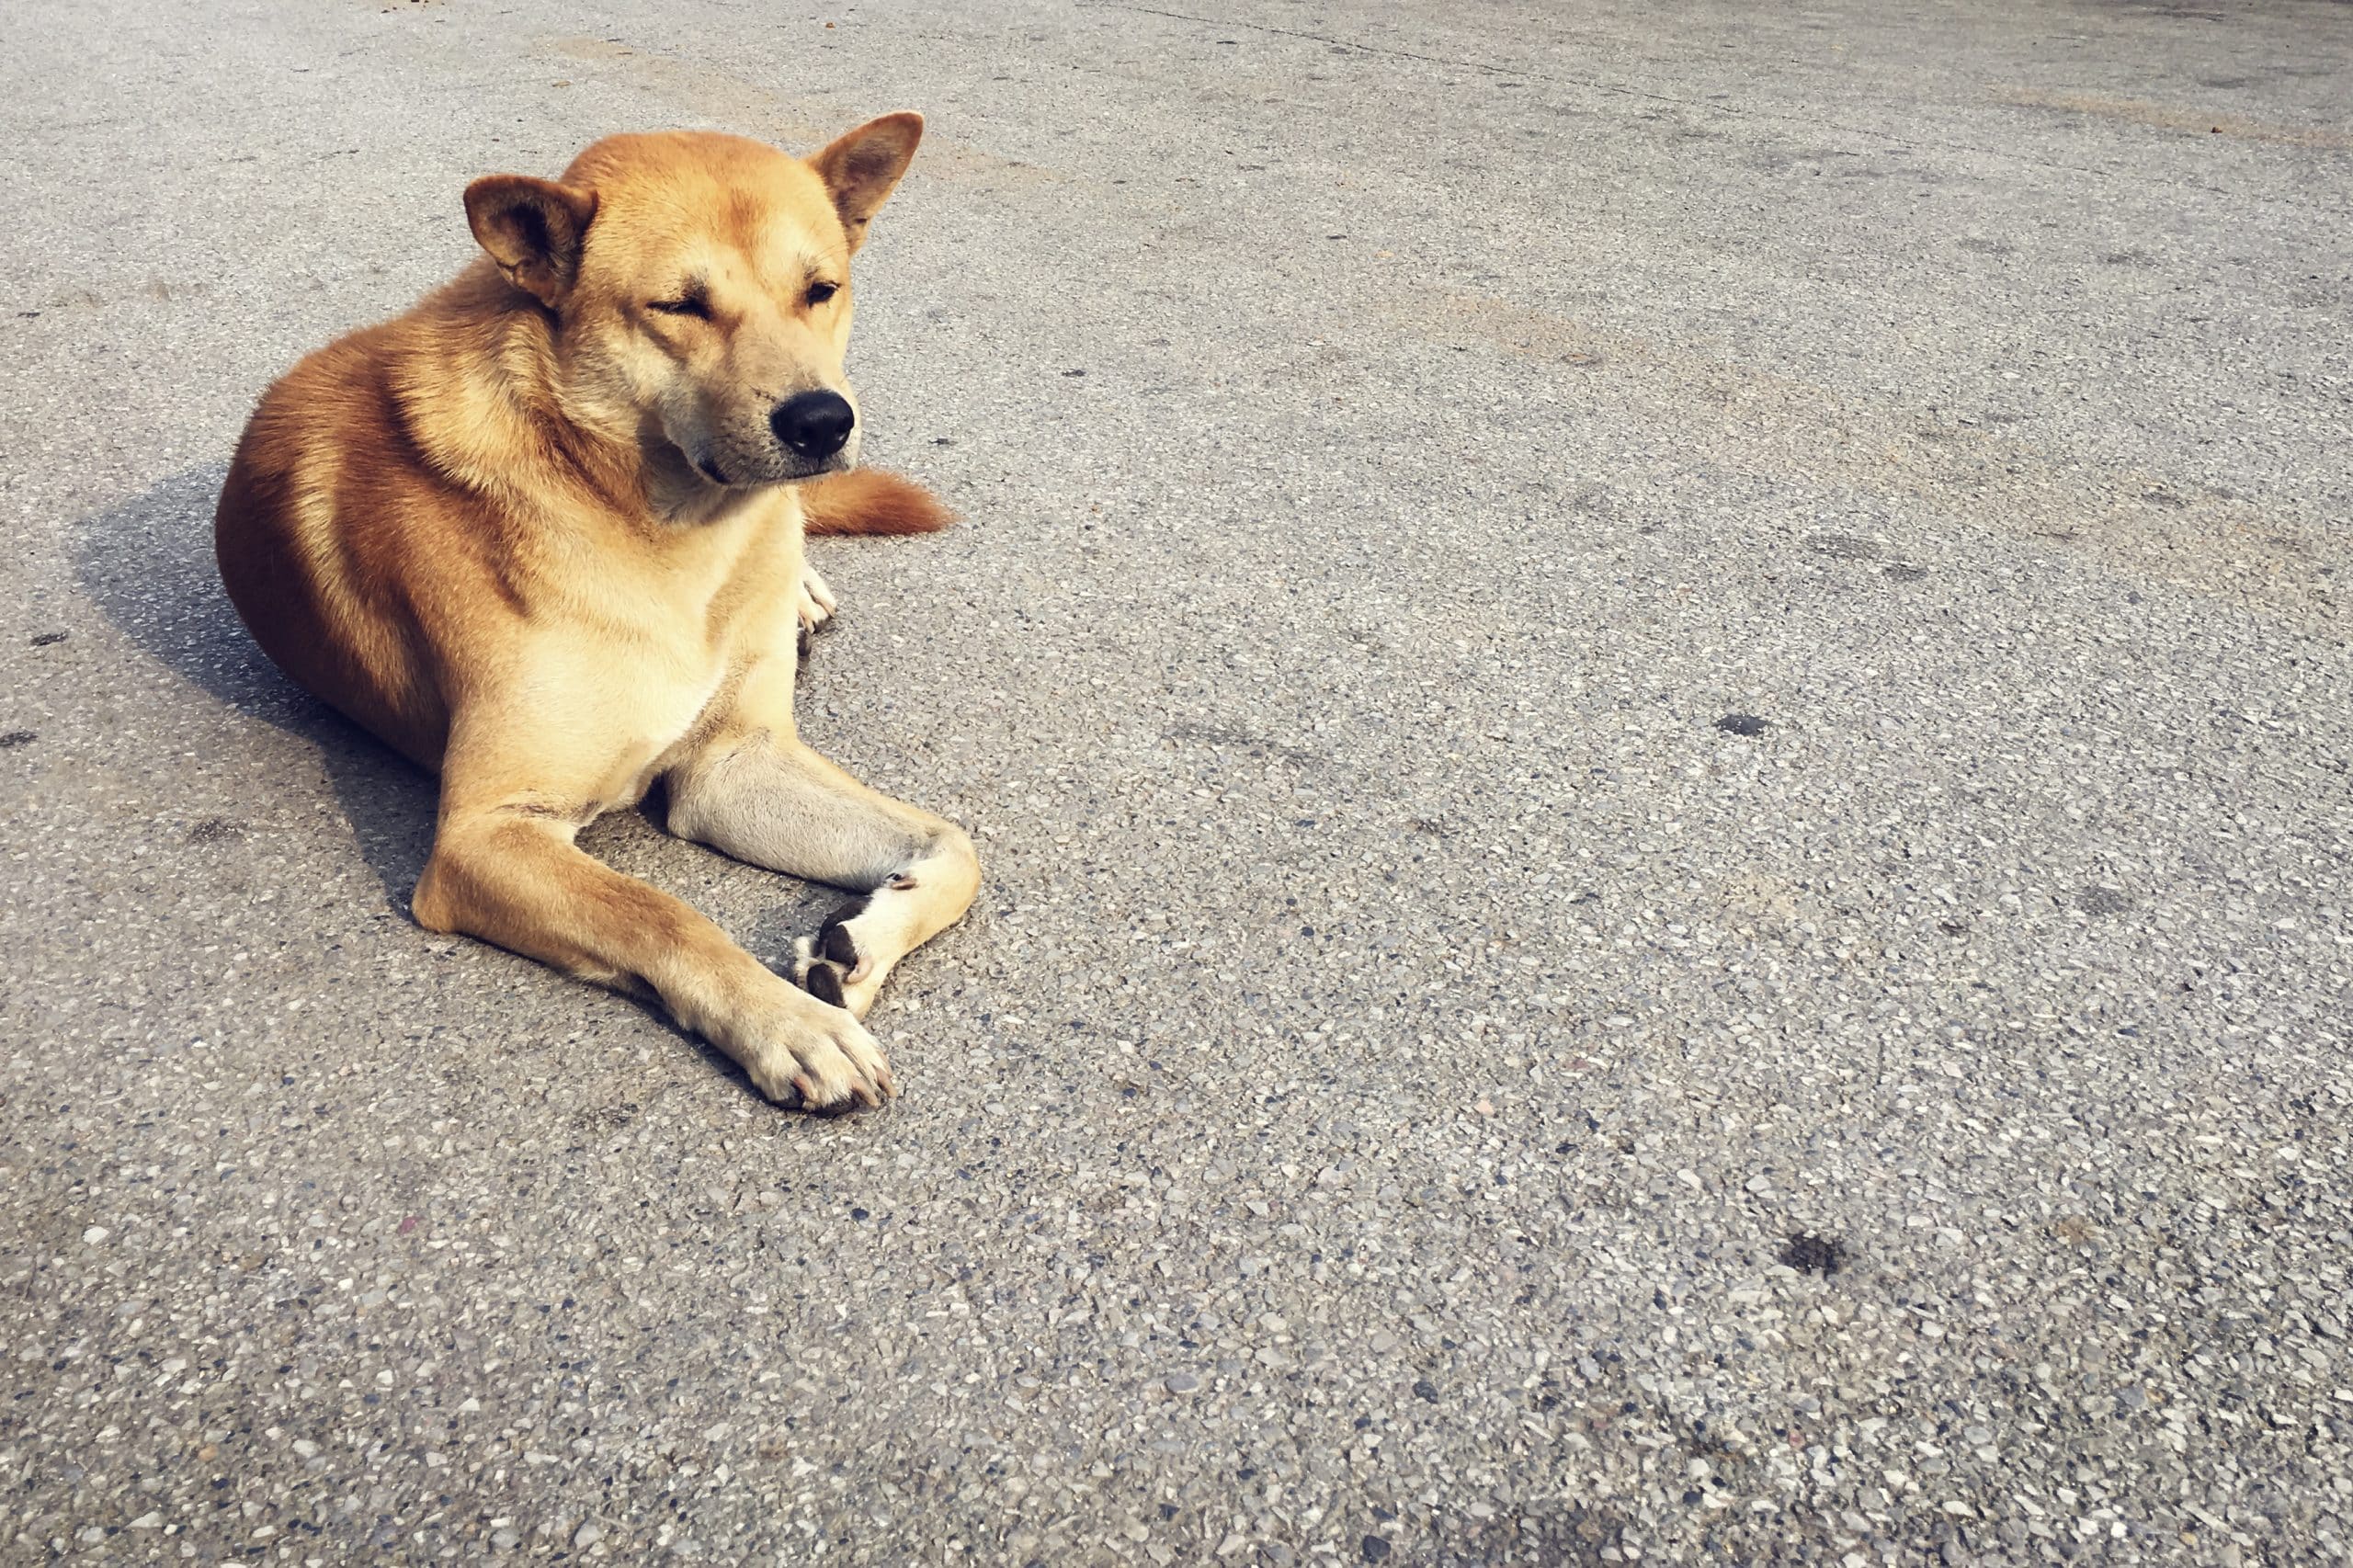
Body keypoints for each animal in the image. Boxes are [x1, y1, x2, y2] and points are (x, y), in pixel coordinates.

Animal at [219, 116, 983, 1106]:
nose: (822, 421)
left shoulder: (732, 763)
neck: (664, 533)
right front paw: (789, 1022)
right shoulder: (484, 834)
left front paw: (862, 943)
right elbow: (661, 912)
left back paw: (802, 590)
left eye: (820, 290)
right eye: (680, 306)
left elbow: (958, 847)